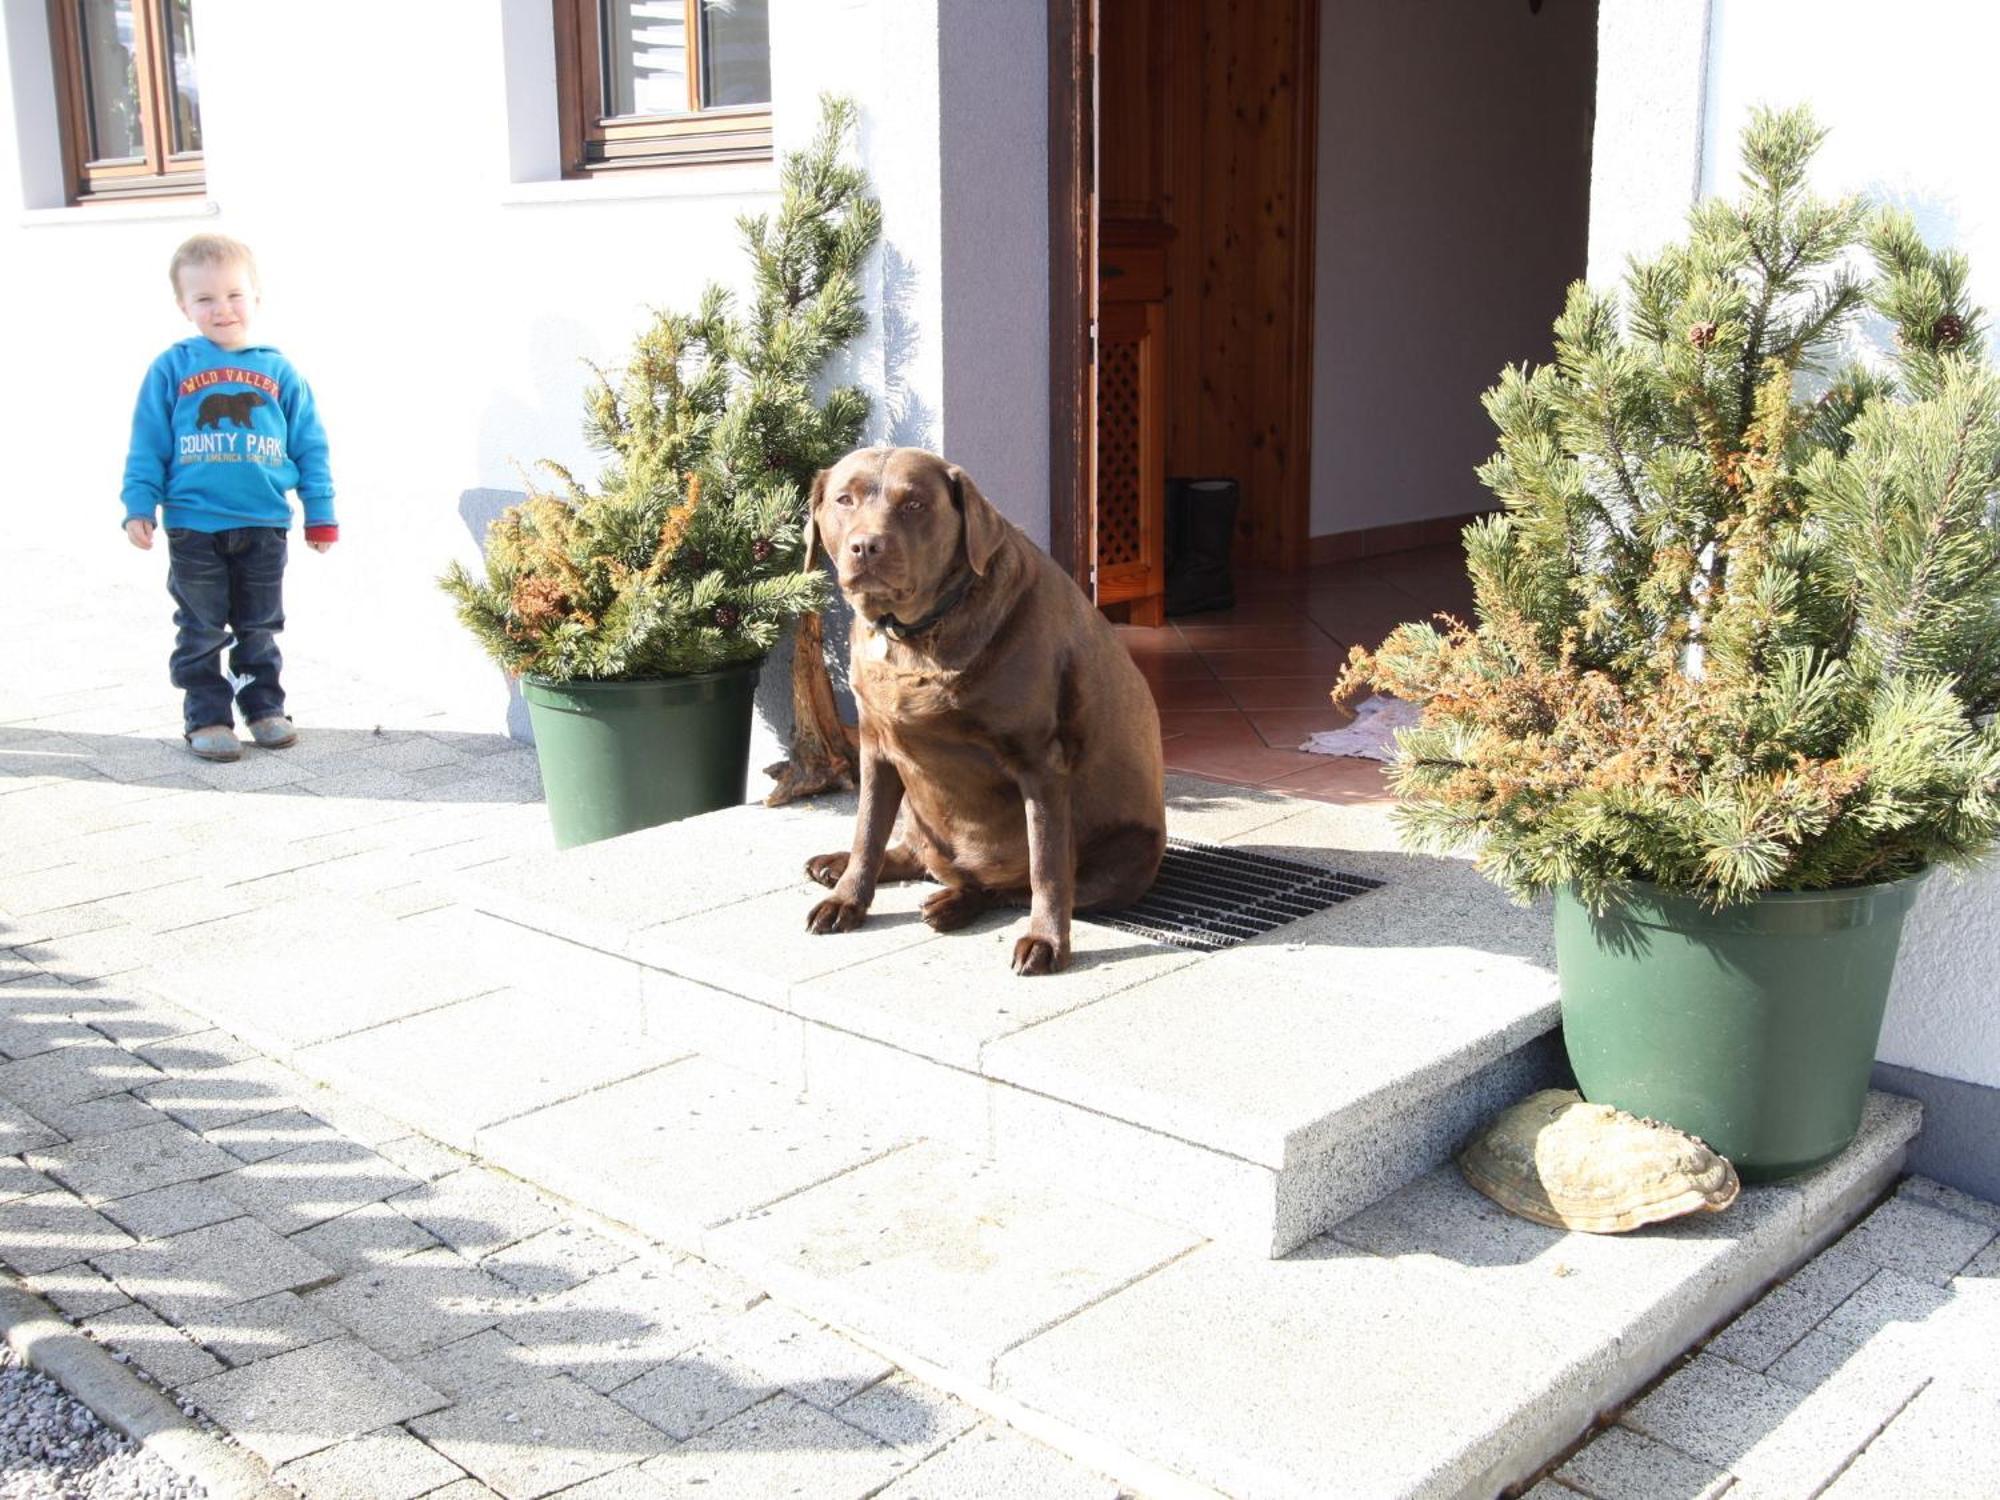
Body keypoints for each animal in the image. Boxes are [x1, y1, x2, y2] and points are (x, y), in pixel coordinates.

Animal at [804, 446, 1168, 976]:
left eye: (914, 504)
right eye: (844, 500)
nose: (866, 546)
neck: (915, 638)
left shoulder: (1040, 763)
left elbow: (1047, 868)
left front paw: (1047, 942)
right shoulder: (875, 746)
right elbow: (867, 832)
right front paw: (848, 900)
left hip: (1129, 855)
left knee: (1010, 888)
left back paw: (954, 903)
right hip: (918, 811)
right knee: (914, 853)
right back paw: (837, 866)